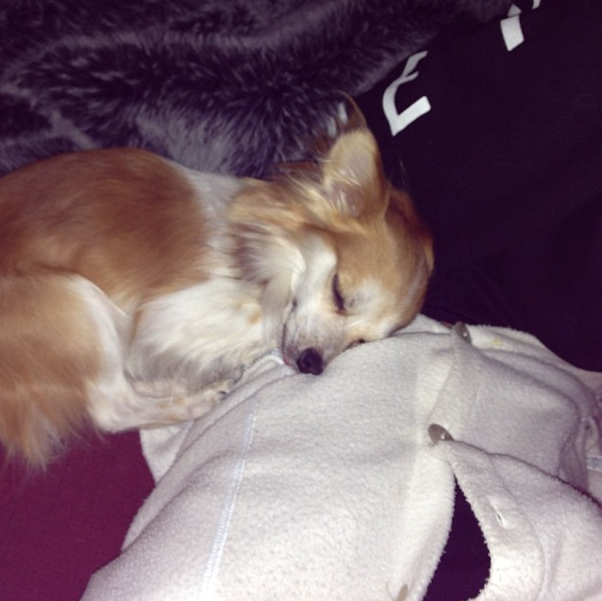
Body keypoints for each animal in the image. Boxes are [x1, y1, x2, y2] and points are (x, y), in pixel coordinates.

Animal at [0, 105, 433, 466]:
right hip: (74, 299)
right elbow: (263, 322)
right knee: (113, 405)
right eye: (339, 293)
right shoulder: (166, 311)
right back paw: (201, 399)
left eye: (359, 343)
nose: (313, 365)